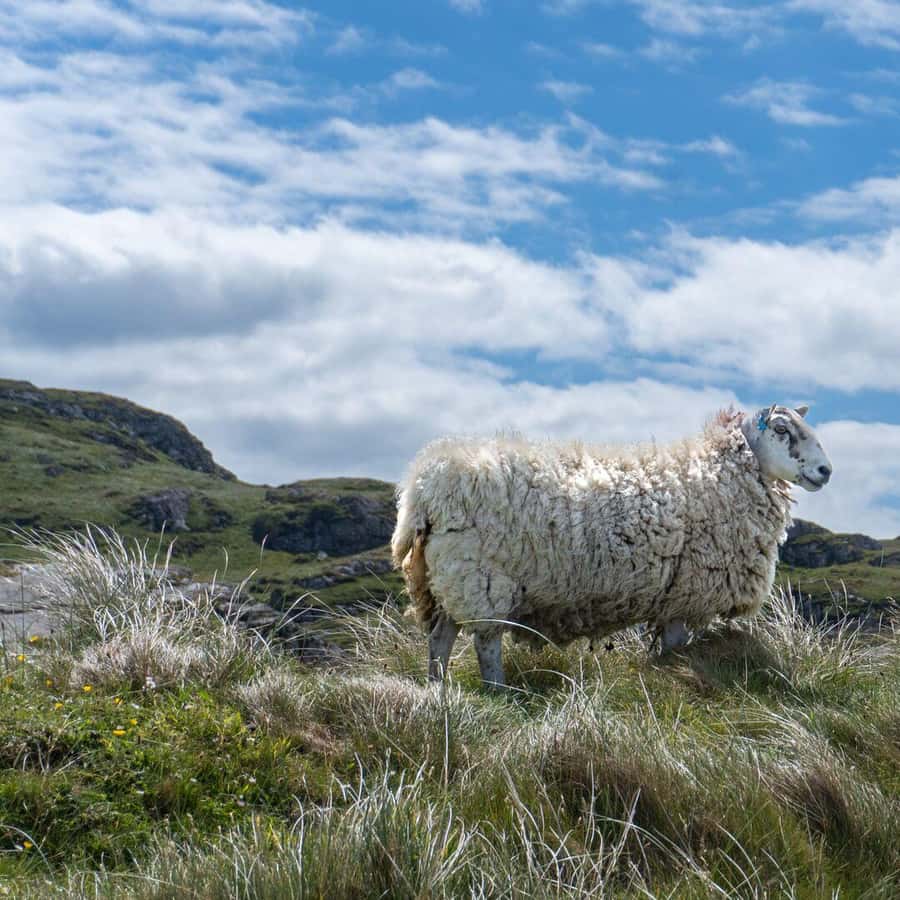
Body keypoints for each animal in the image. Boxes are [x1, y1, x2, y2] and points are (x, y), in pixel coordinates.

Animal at [391, 404, 833, 688]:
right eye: (781, 430)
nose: (825, 471)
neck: (718, 472)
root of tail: (423, 484)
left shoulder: (672, 598)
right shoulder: (685, 594)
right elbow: (677, 647)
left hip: (446, 576)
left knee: (440, 638)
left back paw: (437, 690)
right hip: (480, 576)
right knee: (485, 641)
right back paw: (499, 691)